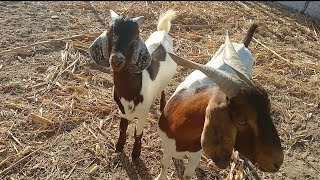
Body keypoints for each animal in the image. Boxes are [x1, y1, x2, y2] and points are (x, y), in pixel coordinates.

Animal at [89, 9, 178, 159]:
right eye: (110, 33)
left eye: (133, 38)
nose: (116, 60)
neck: (130, 92)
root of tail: (162, 31)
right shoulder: (123, 111)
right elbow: (122, 129)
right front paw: (119, 147)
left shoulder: (143, 114)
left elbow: (138, 132)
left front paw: (136, 153)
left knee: (162, 89)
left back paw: (162, 105)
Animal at [156, 24, 284, 179]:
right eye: (241, 121)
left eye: (268, 109)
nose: (278, 161)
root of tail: (242, 45)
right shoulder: (166, 145)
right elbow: (164, 164)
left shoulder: (195, 155)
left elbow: (187, 175)